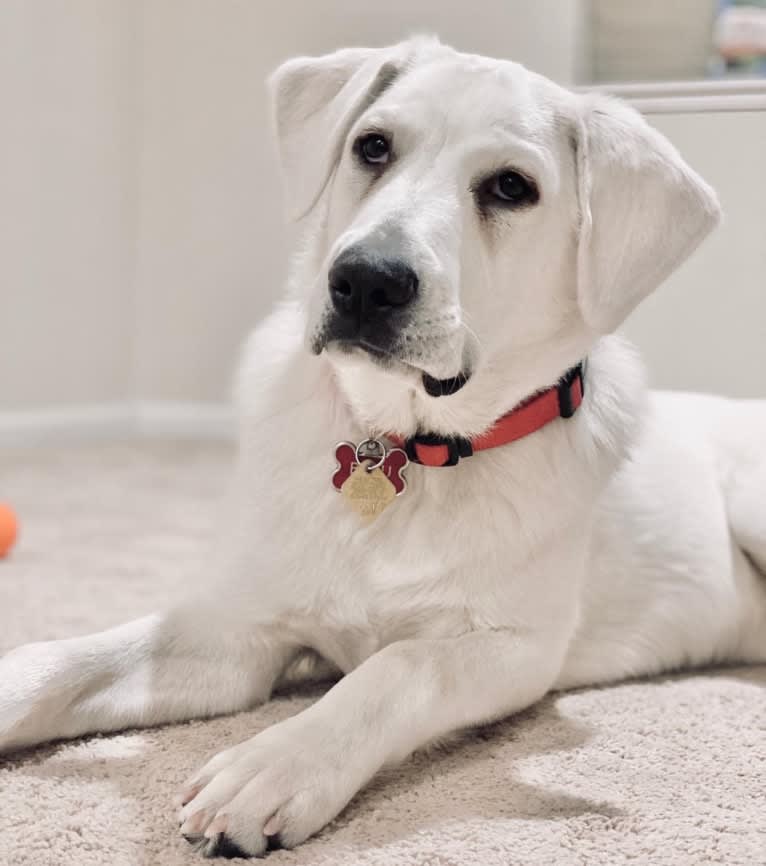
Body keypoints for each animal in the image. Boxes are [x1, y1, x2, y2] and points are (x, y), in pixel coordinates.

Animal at [1, 35, 766, 856]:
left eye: (511, 187)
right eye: (372, 146)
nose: (365, 281)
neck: (404, 443)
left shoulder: (514, 649)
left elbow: (397, 668)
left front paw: (276, 764)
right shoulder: (234, 630)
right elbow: (58, 662)